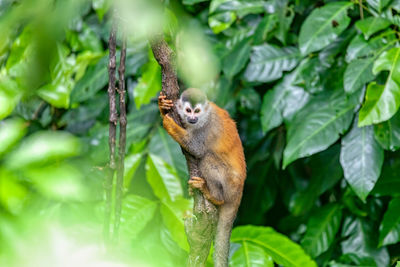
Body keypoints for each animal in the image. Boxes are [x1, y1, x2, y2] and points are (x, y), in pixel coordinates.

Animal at [158, 88, 245, 267]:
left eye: (197, 111)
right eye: (188, 110)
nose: (192, 118)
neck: (205, 116)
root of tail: (239, 190)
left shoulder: (207, 127)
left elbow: (196, 148)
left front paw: (168, 123)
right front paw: (162, 106)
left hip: (229, 183)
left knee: (207, 157)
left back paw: (215, 196)